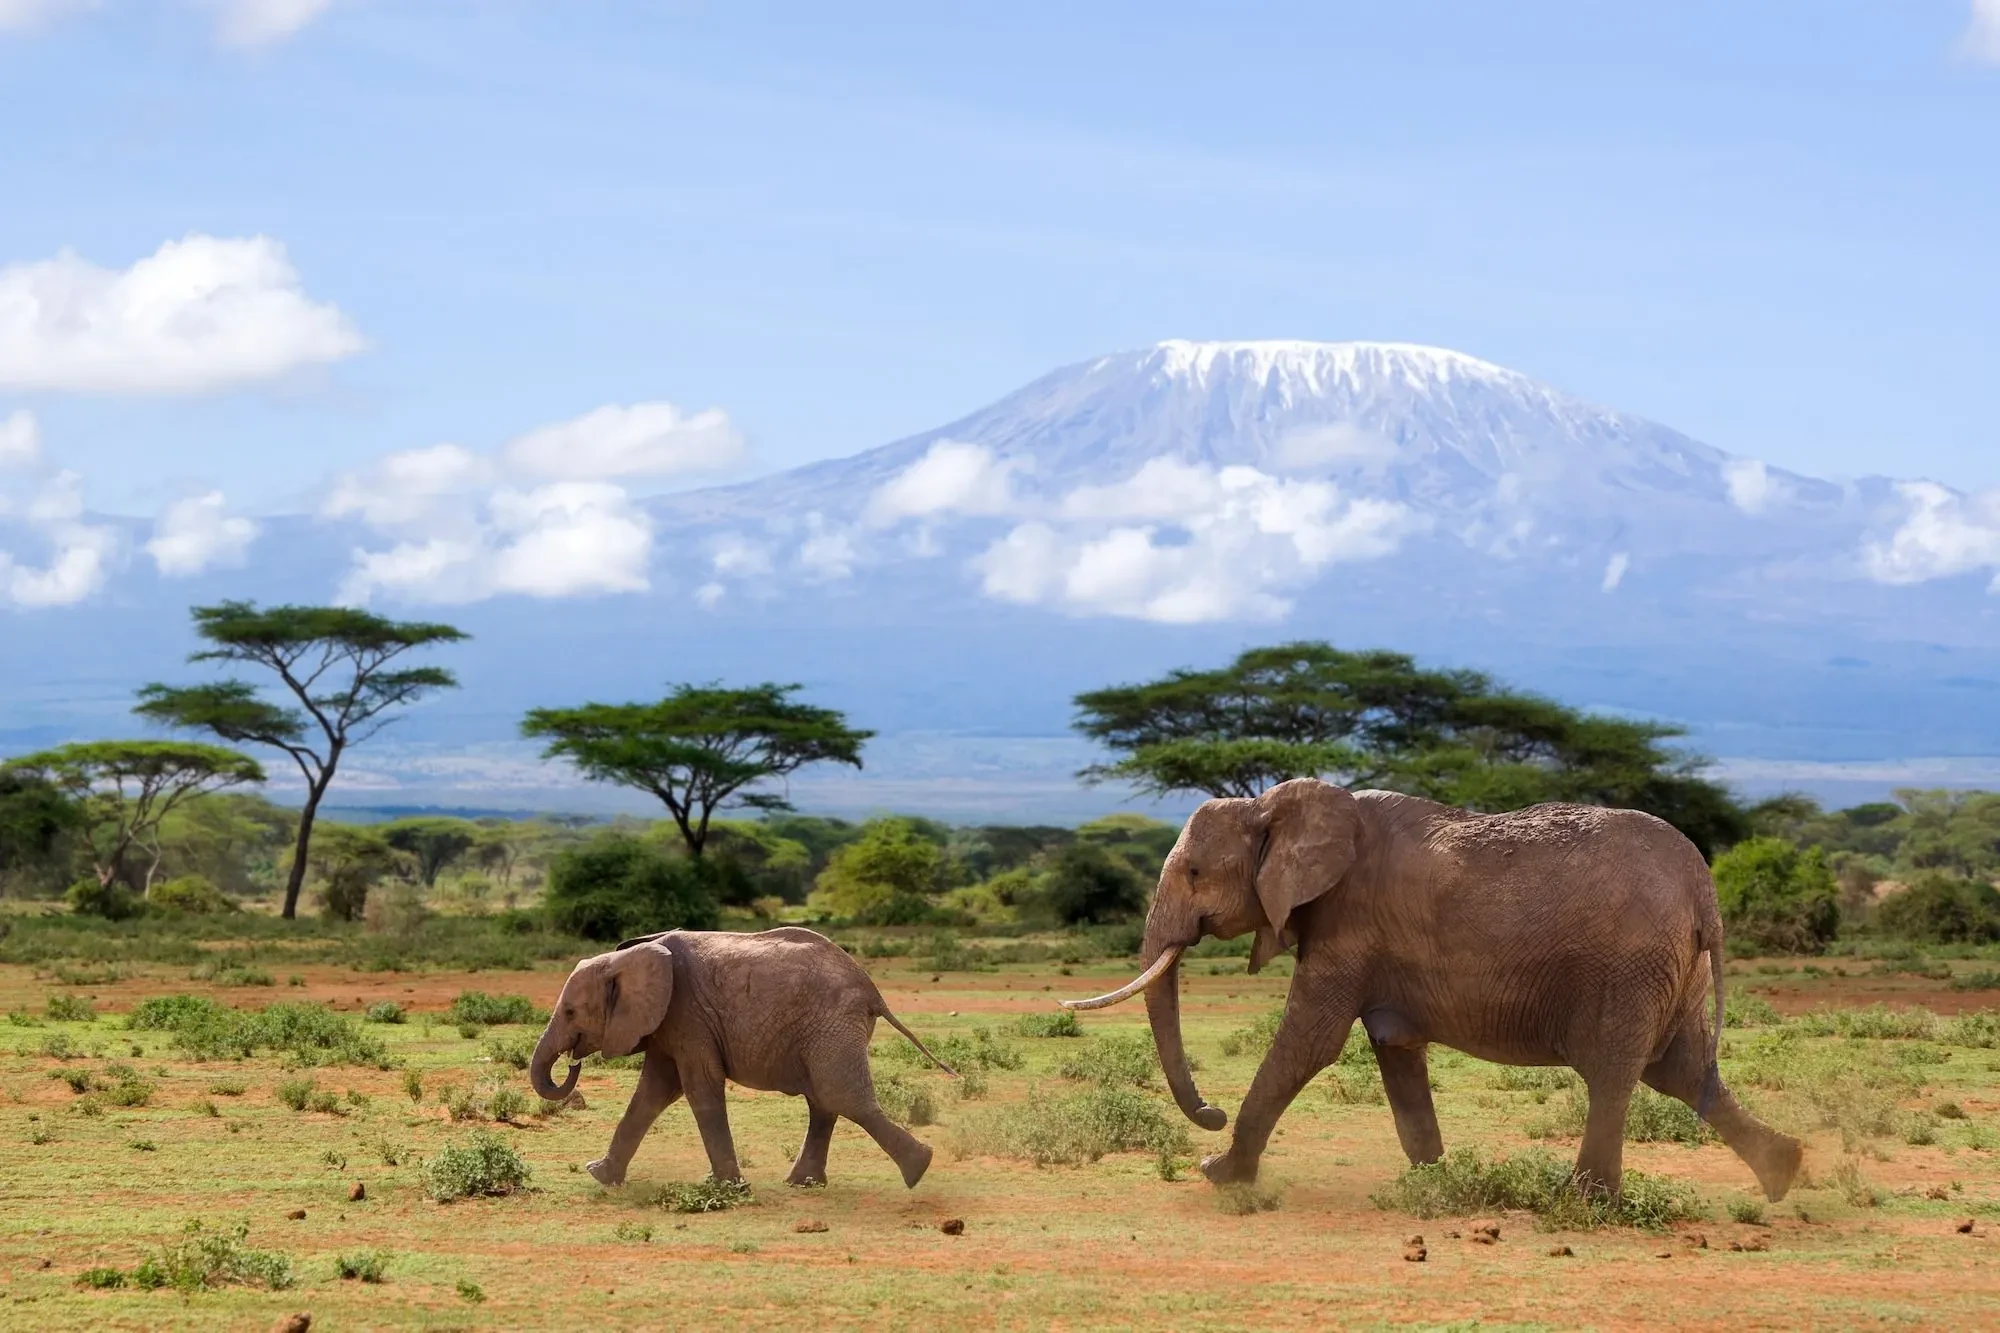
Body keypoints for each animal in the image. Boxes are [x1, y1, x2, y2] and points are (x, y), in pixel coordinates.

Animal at [529, 926, 952, 1190]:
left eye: (570, 1012)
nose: (572, 1060)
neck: (630, 956)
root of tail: (872, 989)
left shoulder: (688, 1014)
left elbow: (699, 1088)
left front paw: (725, 1187)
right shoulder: (670, 1022)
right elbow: (653, 1093)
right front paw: (599, 1175)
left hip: (831, 1024)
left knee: (841, 1096)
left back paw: (920, 1169)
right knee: (824, 1102)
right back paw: (803, 1183)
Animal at [1060, 778, 1804, 1201]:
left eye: (1192, 872)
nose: (1209, 1112)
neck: (1276, 806)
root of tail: (1704, 887)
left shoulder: (1349, 923)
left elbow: (1307, 1043)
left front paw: (1219, 1172)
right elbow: (1395, 1050)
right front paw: (1435, 1181)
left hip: (1629, 966)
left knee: (1618, 1072)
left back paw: (1582, 1200)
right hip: (1674, 969)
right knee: (1681, 1070)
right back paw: (1783, 1174)